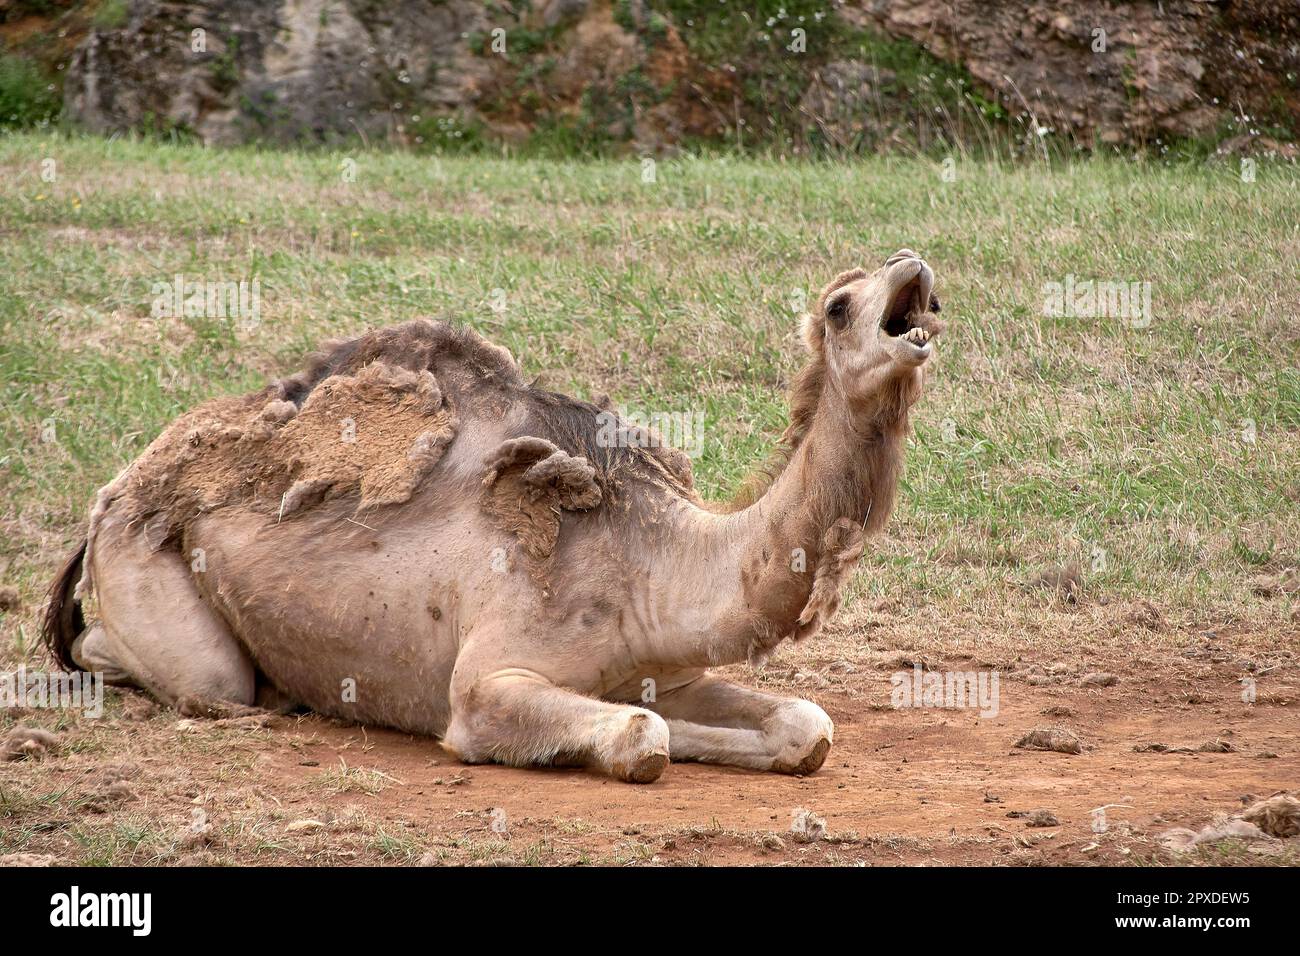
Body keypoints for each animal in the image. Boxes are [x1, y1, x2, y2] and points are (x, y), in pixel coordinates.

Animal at [38, 251, 935, 780]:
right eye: (839, 305)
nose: (913, 266)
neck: (653, 559)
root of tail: (115, 489)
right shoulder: (486, 679)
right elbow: (639, 736)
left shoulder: (664, 667)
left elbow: (805, 726)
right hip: (148, 574)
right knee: (179, 671)